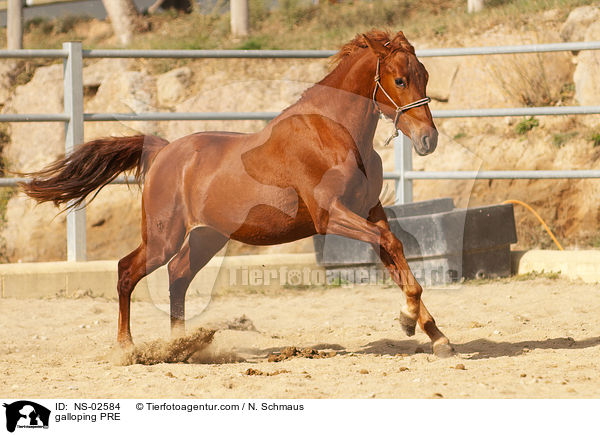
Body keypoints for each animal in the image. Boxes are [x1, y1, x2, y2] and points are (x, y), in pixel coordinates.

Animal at [22, 30, 454, 358]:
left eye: (426, 76)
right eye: (400, 81)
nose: (428, 140)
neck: (335, 133)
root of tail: (163, 151)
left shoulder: (370, 211)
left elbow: (395, 253)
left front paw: (435, 335)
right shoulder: (331, 215)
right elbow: (391, 245)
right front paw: (408, 321)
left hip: (207, 236)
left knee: (178, 275)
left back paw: (182, 346)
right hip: (164, 236)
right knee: (127, 271)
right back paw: (128, 347)